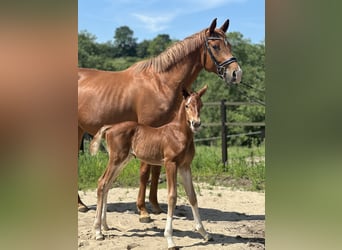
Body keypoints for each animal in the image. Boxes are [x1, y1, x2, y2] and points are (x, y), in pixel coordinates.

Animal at [89, 85, 210, 248]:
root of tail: (110, 127)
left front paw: (204, 233)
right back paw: (98, 232)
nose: (196, 124)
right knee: (102, 183)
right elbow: (172, 196)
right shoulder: (170, 164)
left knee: (107, 184)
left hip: (123, 160)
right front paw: (170, 239)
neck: (178, 133)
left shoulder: (185, 166)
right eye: (187, 105)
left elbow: (192, 196)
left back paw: (104, 225)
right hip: (116, 159)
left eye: (201, 105)